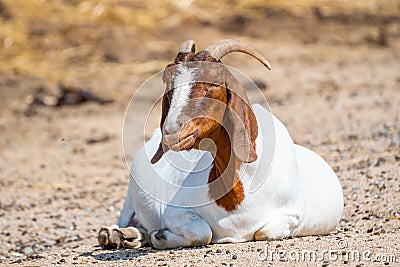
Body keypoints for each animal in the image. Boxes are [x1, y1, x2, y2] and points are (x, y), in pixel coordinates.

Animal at [97, 38, 344, 250]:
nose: (171, 133)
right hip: (130, 197)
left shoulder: (292, 215)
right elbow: (202, 232)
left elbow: (264, 232)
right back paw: (116, 234)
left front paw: (156, 235)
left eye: (213, 82)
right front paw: (159, 235)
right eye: (168, 82)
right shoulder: (174, 212)